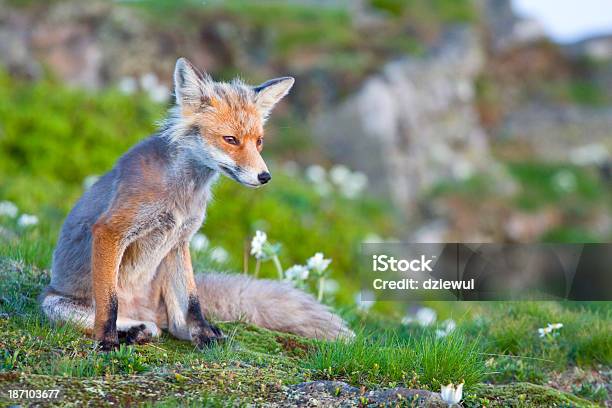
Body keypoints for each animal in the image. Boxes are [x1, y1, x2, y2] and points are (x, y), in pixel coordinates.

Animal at [40, 57, 352, 350]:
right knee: (117, 318)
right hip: (52, 303)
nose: (265, 177)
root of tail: (147, 311)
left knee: (175, 325)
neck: (181, 194)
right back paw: (131, 330)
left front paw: (205, 336)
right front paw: (106, 341)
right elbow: (108, 302)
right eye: (231, 139)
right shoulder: (111, 230)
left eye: (259, 142)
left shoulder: (180, 239)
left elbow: (192, 303)